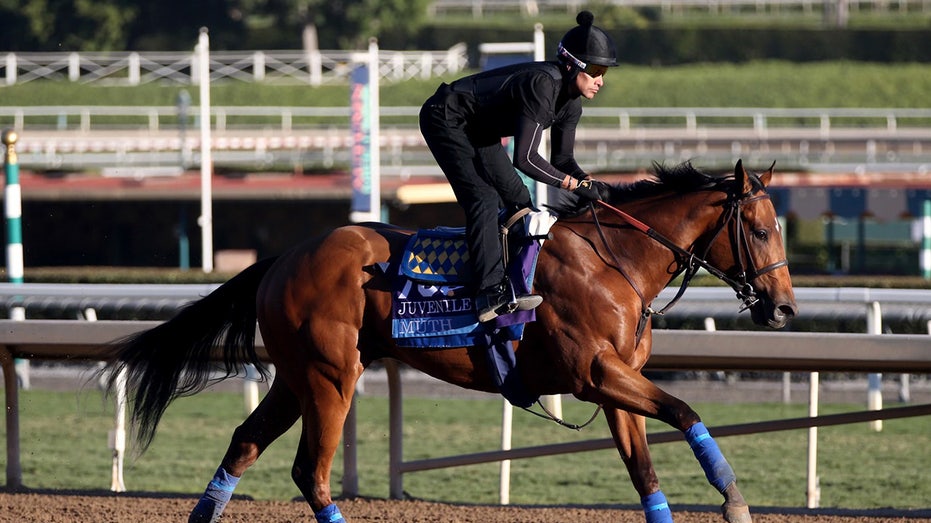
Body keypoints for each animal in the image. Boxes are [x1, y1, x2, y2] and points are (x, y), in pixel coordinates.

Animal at [104, 160, 800, 523]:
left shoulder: (612, 382)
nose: (785, 308)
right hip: (331, 376)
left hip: (298, 378)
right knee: (311, 471)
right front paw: (735, 501)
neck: (614, 263)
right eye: (761, 230)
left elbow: (644, 466)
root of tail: (282, 257)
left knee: (246, 443)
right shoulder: (596, 372)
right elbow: (683, 410)